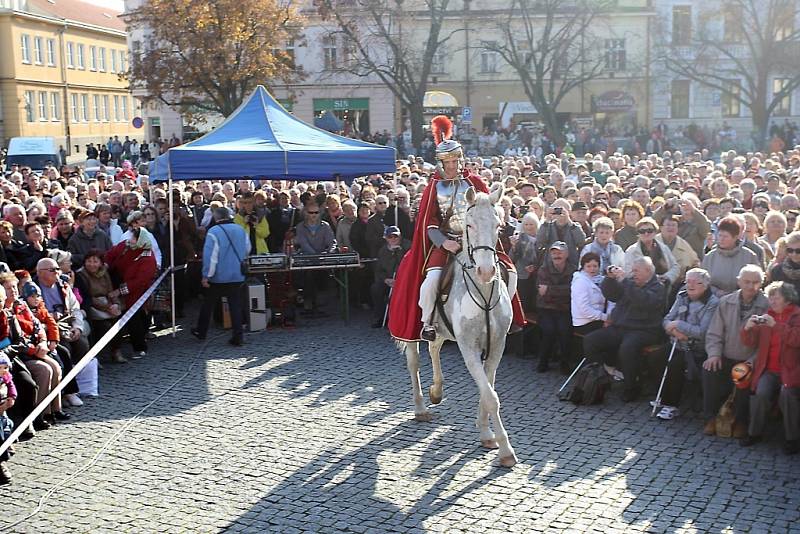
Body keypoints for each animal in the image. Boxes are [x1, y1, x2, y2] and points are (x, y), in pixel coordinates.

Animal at [396, 184, 520, 468]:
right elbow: (491, 396)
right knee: (414, 362)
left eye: (498, 225)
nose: (486, 271)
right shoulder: (468, 349)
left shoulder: (497, 346)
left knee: (434, 348)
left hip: (441, 331)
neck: (483, 293)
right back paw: (420, 407)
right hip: (411, 333)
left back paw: (437, 390)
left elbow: (488, 390)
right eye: (470, 225)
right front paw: (505, 450)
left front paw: (486, 433)